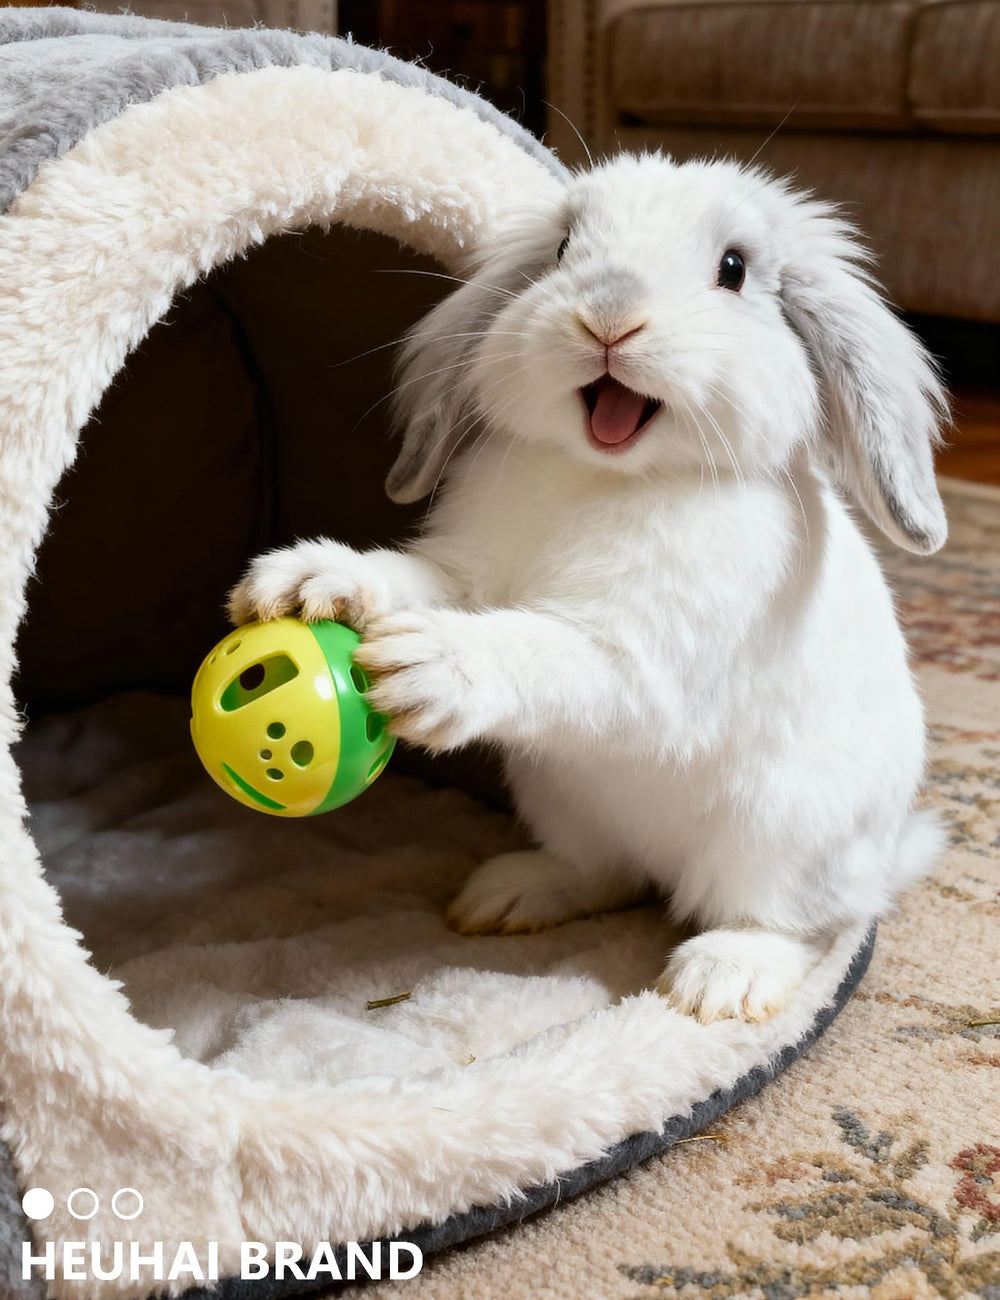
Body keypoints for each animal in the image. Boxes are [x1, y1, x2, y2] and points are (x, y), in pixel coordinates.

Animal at [229, 152, 948, 1024]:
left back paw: (719, 981)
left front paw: (427, 666)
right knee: (608, 874)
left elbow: (553, 657)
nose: (609, 316)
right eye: (565, 248)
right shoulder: (467, 572)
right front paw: (309, 579)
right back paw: (508, 897)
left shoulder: (647, 658)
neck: (603, 476)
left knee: (797, 925)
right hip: (564, 800)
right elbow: (416, 579)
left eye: (734, 268)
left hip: (783, 837)